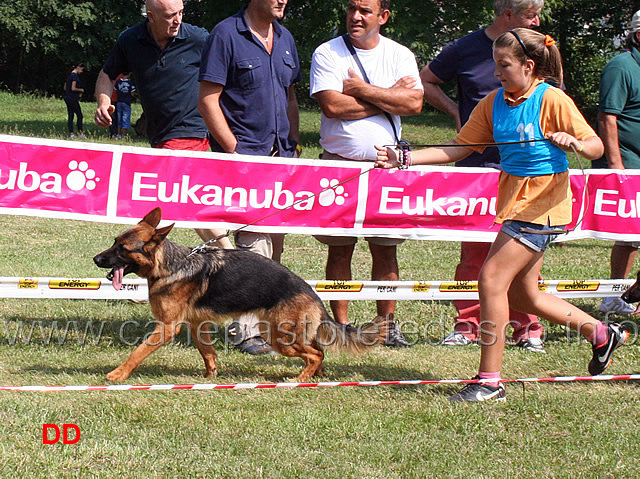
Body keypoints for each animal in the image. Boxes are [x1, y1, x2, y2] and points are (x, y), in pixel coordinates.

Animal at [92, 208, 388, 380]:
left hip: (278, 337)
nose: (95, 259)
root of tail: (312, 293)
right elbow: (208, 353)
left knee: (315, 354)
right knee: (318, 352)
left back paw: (300, 380)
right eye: (114, 242)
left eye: (123, 249)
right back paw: (316, 377)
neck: (169, 265)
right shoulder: (197, 325)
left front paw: (117, 375)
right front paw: (210, 378)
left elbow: (138, 352)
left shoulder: (166, 328)